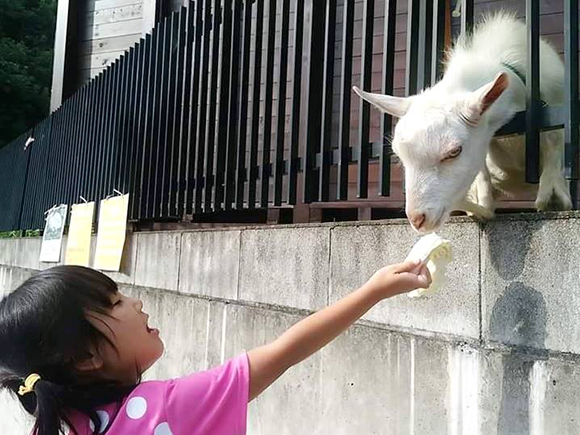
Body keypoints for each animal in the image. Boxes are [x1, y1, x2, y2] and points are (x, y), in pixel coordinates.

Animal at [354, 11, 572, 233]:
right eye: (399, 156)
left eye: (454, 151)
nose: (417, 219)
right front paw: (483, 206)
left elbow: (554, 139)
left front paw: (552, 196)